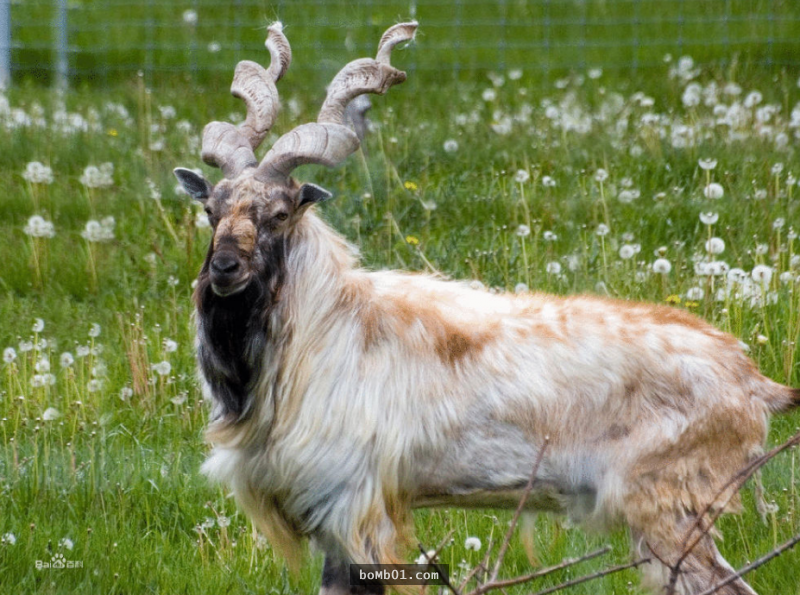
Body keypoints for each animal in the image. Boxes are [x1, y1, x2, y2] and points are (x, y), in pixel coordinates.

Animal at [177, 21, 800, 592]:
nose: (225, 269)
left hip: (669, 510)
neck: (323, 325)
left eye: (280, 213)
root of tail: (754, 382)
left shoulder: (354, 504)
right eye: (212, 210)